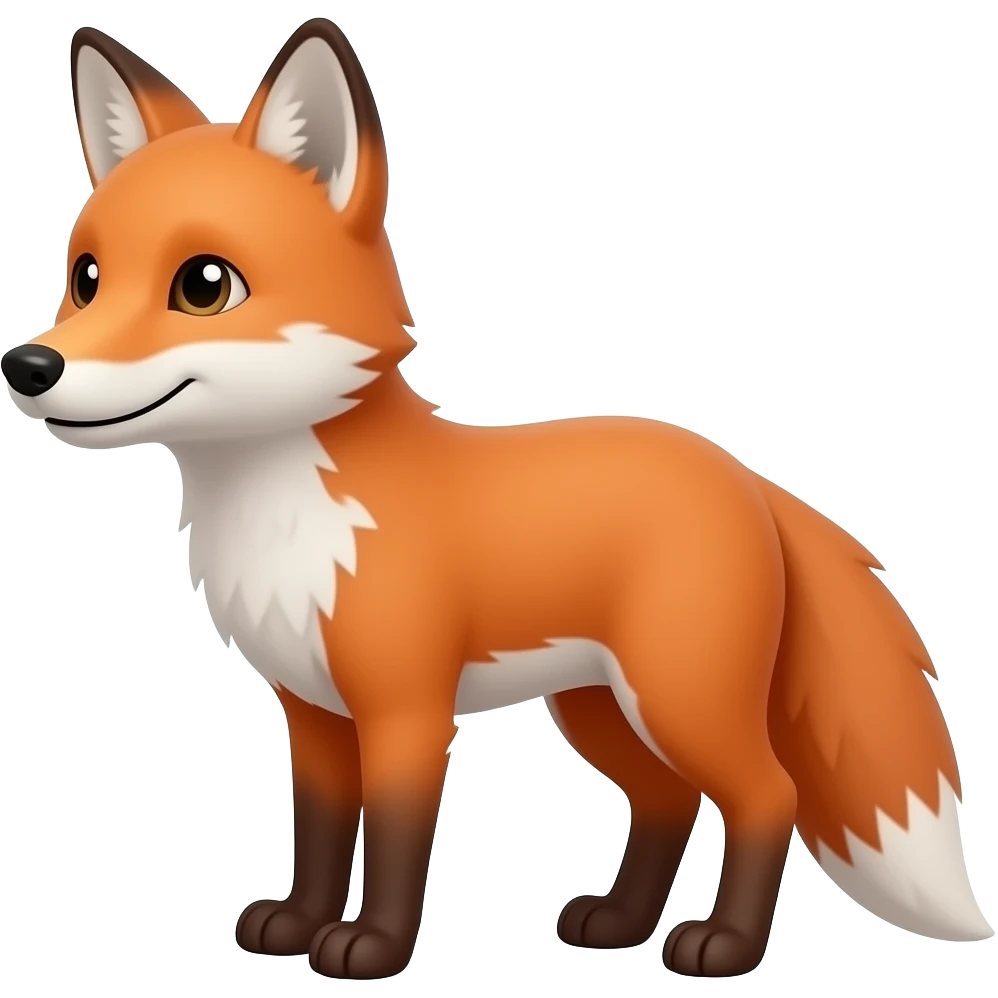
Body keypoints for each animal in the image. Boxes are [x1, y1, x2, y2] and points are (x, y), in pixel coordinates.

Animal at [2, 17, 992, 982]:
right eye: (86, 277)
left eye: (204, 285)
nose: (29, 366)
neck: (285, 516)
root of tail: (741, 473)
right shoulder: (312, 711)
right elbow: (318, 834)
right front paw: (297, 924)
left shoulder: (406, 709)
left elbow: (396, 841)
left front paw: (372, 948)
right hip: (599, 708)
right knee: (668, 800)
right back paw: (619, 923)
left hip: (678, 697)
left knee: (766, 794)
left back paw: (724, 947)